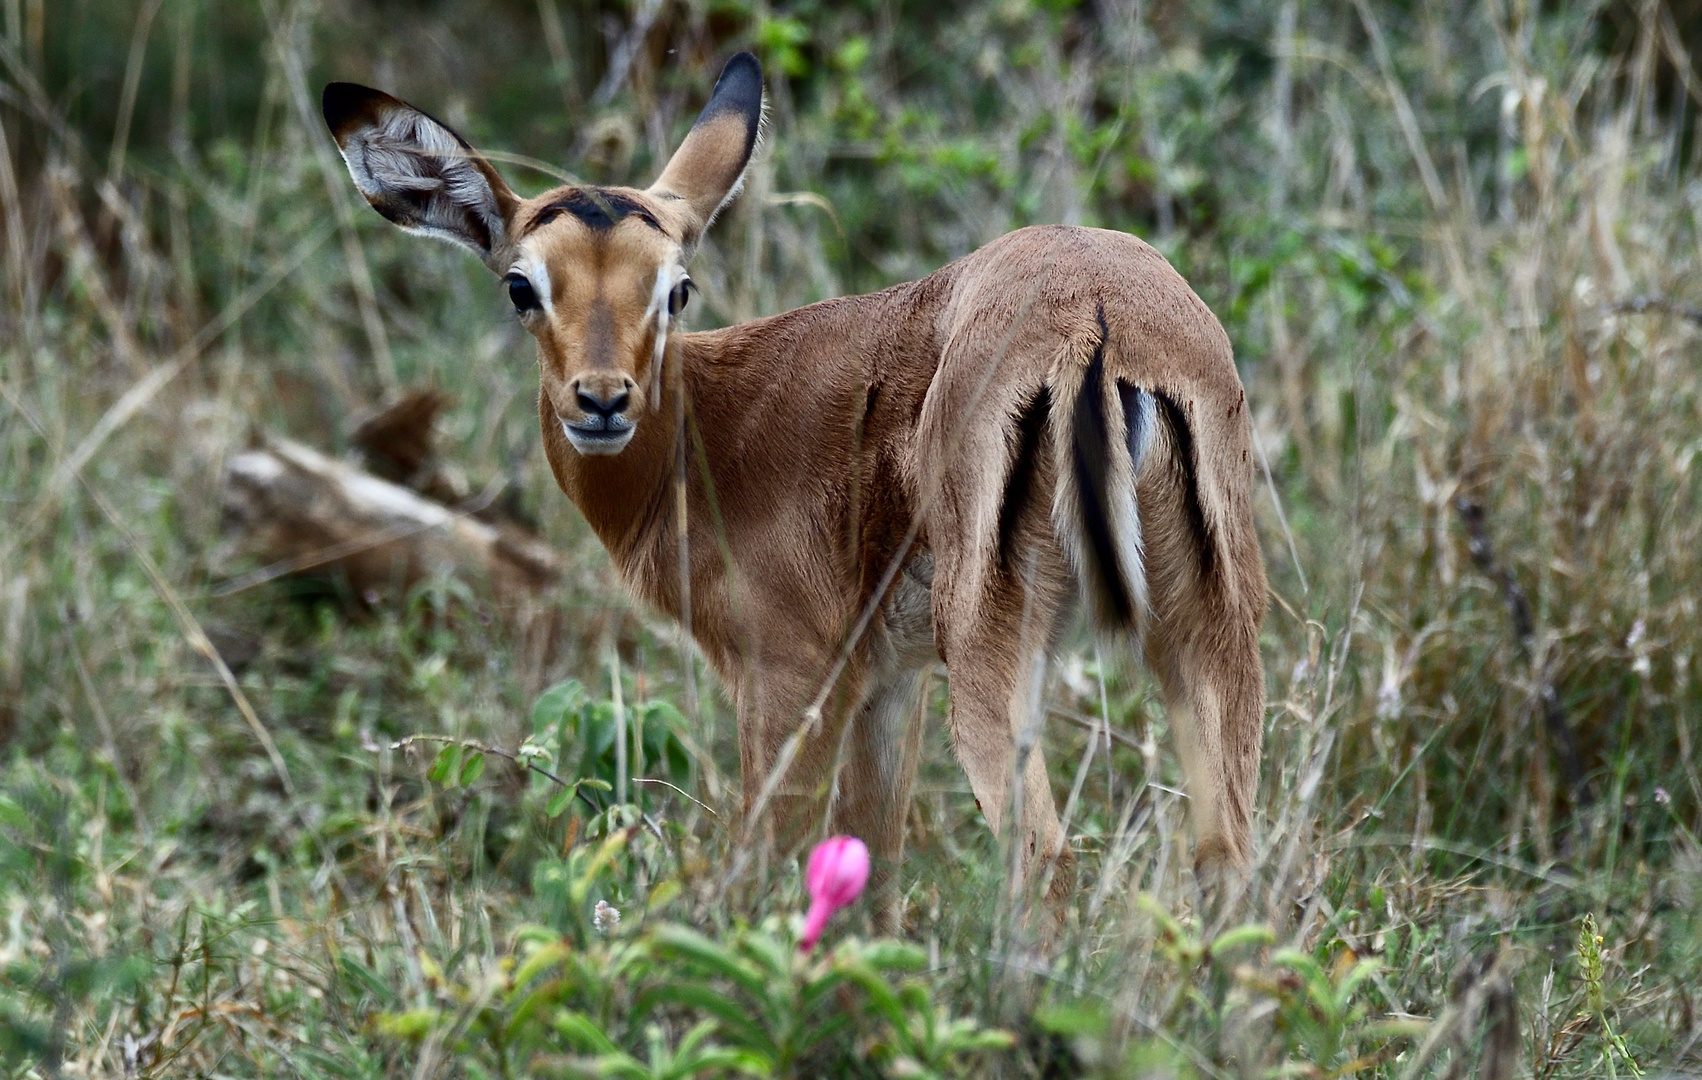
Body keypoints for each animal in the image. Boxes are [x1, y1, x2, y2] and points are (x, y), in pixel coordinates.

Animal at [328, 52, 1266, 932]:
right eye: (522, 283)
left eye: (676, 287)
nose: (601, 400)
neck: (708, 442)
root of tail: (1101, 319)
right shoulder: (889, 680)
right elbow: (874, 865)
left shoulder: (792, 673)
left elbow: (765, 866)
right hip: (1207, 629)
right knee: (1227, 860)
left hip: (993, 655)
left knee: (1043, 861)